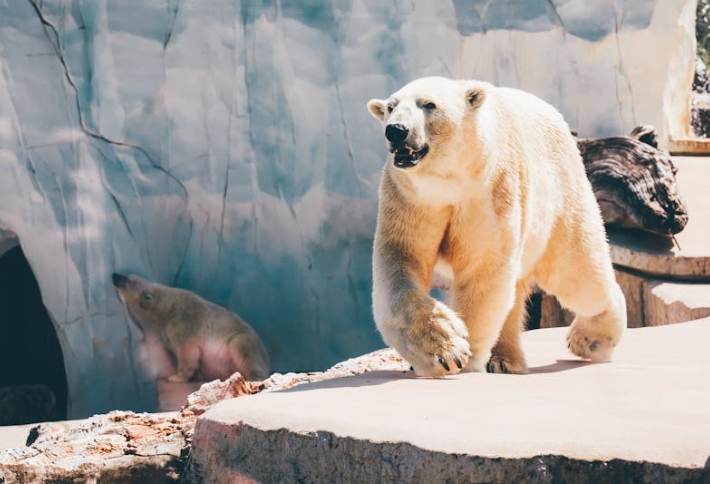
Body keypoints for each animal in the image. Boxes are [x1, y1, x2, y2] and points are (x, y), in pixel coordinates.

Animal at [368, 76, 628, 378]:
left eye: (429, 104)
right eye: (390, 106)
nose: (396, 131)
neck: (448, 181)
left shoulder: (489, 192)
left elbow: (483, 268)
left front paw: (464, 358)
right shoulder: (410, 198)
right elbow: (401, 261)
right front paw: (445, 351)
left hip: (561, 197)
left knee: (577, 275)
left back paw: (588, 340)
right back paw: (505, 359)